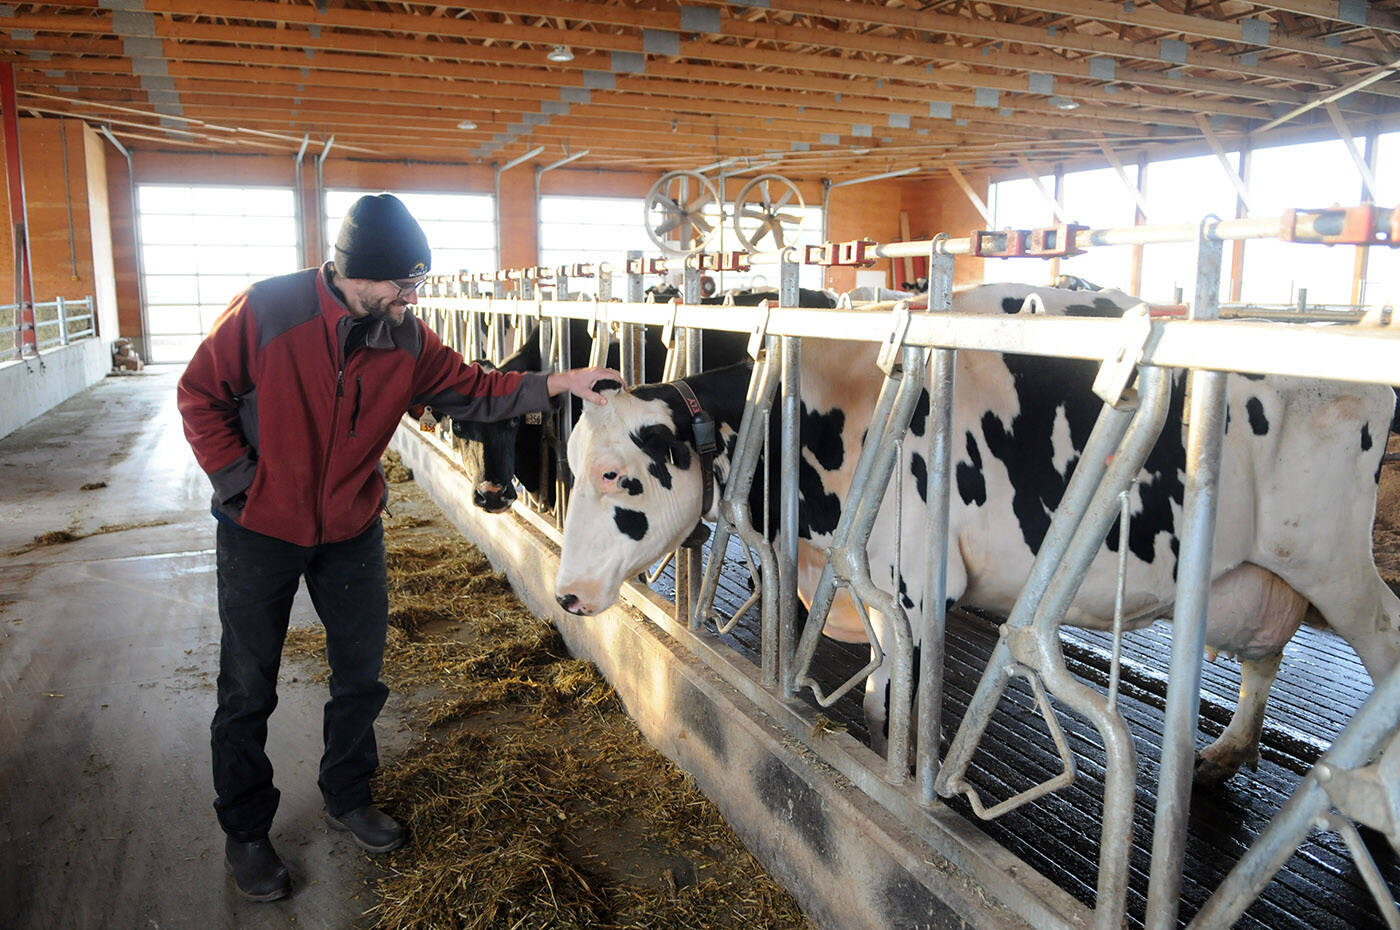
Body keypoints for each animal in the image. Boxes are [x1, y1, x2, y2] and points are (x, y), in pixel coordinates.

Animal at [548, 281, 1400, 784]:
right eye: (574, 463)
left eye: (618, 476)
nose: (566, 595)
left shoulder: (911, 585)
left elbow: (890, 703)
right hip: (1258, 572)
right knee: (1264, 653)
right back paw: (1225, 751)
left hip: (1334, 562)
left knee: (1382, 639)